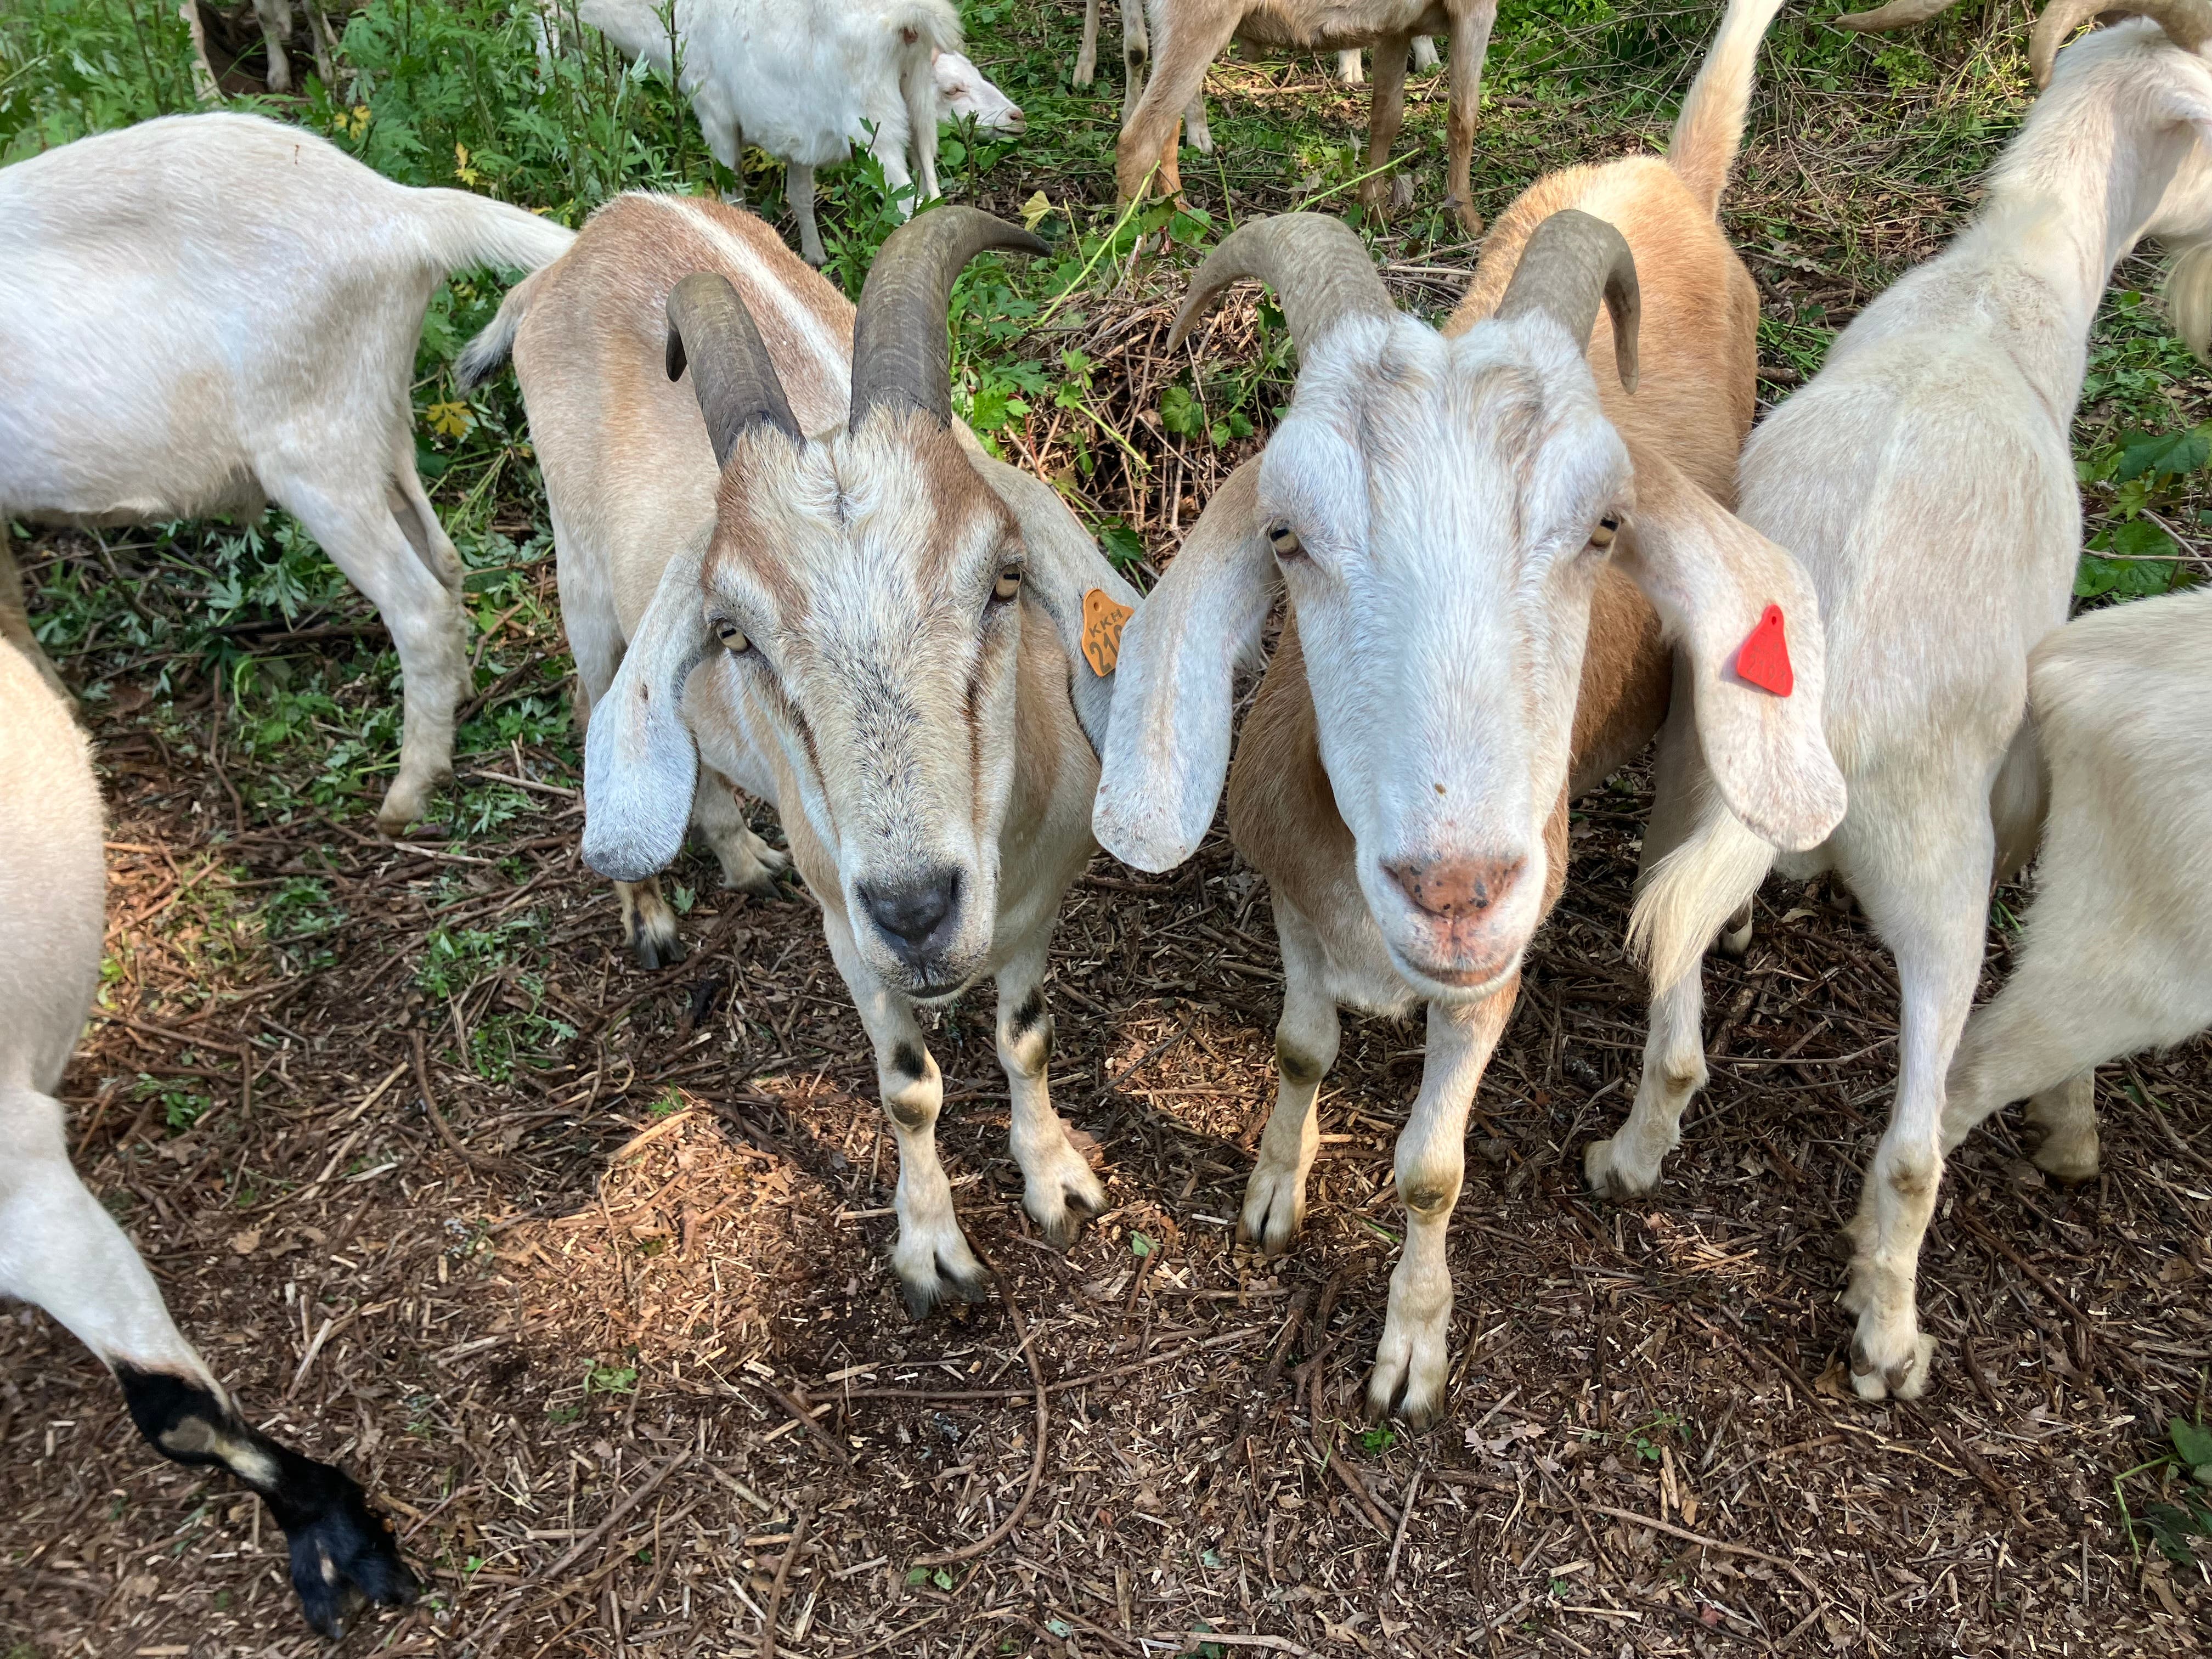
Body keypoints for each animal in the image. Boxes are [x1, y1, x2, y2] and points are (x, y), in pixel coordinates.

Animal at [0, 111, 572, 833]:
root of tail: (401, 213)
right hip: (378, 422)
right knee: (442, 556)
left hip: (314, 449)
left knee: (416, 605)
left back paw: (406, 795)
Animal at [465, 199, 1139, 1311]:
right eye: (736, 631)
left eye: (1004, 577)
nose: (914, 910)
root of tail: (597, 229)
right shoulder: (847, 936)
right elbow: (908, 1091)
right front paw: (934, 1251)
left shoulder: (1040, 903)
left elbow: (1027, 1036)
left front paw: (1057, 1182)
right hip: (583, 586)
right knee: (596, 700)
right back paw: (650, 913)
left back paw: (742, 854)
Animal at [535, 0, 965, 266]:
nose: (546, 76)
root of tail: (907, 20)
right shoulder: (798, 135)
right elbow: (800, 196)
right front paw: (814, 257)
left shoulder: (715, 113)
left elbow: (733, 196)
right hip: (919, 105)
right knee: (933, 195)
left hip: (876, 127)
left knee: (907, 206)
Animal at [1115, 0, 1501, 232]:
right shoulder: (1474, 10)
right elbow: (1463, 118)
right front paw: (1469, 220)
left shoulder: (1398, 26)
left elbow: (1386, 116)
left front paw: (1374, 210)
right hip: (1196, 23)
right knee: (1138, 138)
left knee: (1166, 128)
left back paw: (1182, 220)